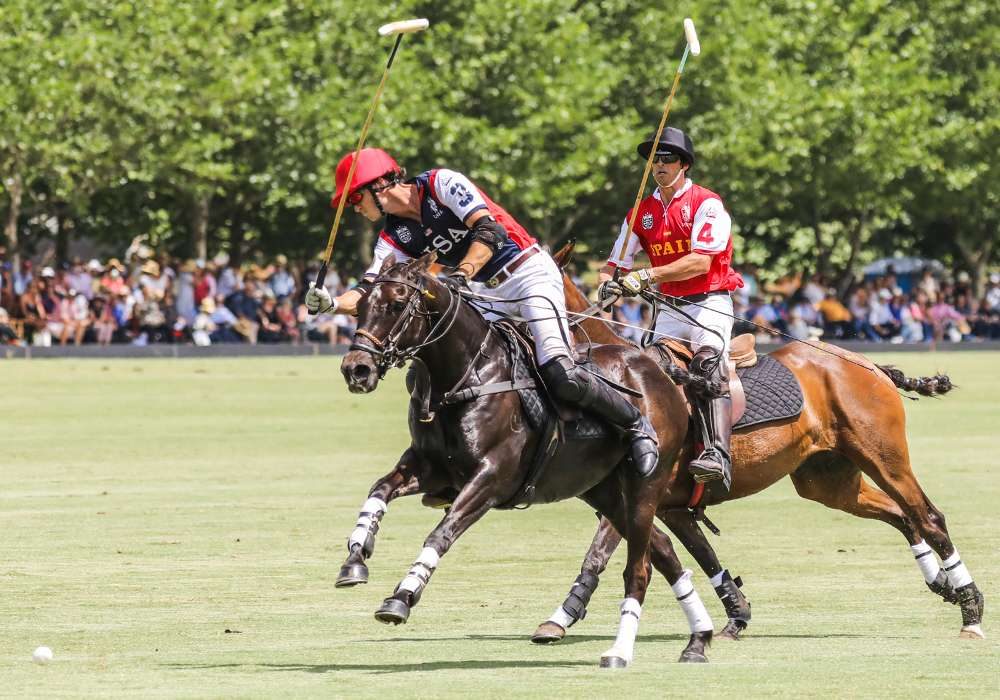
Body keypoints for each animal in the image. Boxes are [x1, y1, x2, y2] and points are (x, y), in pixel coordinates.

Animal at [336, 253, 712, 668]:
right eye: (361, 305)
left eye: (397, 304)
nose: (356, 369)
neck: (468, 376)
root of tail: (662, 373)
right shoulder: (431, 468)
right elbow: (379, 490)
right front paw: (355, 559)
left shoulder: (491, 478)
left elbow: (440, 533)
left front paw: (401, 597)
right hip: (605, 492)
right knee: (664, 553)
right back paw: (699, 638)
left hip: (645, 485)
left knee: (640, 568)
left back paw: (619, 652)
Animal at [532, 247, 984, 644]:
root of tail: (870, 364)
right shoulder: (669, 503)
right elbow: (701, 554)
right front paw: (737, 614)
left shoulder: (644, 488)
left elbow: (601, 551)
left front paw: (560, 617)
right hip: (828, 480)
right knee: (901, 515)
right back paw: (942, 583)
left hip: (883, 456)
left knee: (928, 516)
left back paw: (971, 611)